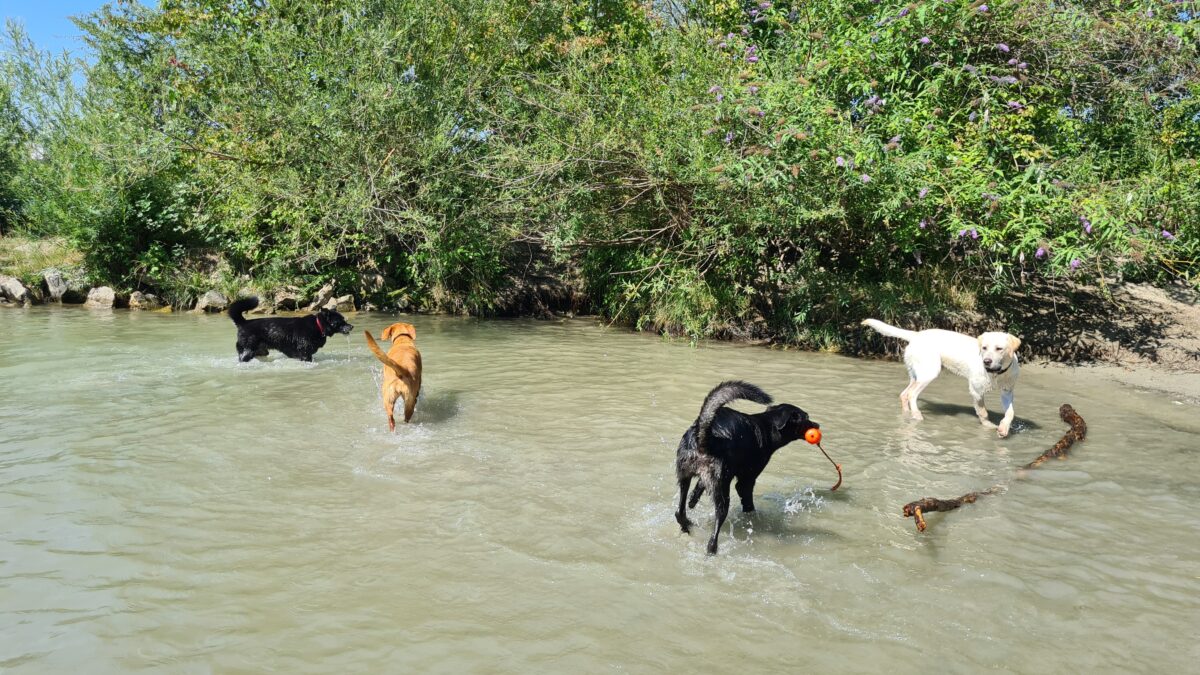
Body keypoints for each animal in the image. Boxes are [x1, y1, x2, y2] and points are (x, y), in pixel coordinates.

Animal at [672, 379, 820, 552]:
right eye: (806, 417)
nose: (818, 425)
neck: (767, 426)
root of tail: (705, 436)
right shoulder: (746, 481)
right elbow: (748, 503)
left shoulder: (710, 477)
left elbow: (699, 487)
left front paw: (693, 500)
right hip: (722, 492)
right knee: (714, 534)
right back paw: (711, 550)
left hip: (685, 475)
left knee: (679, 512)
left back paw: (687, 525)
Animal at [864, 319, 1022, 437]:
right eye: (984, 348)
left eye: (999, 348)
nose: (986, 361)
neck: (996, 373)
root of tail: (916, 335)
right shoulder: (976, 391)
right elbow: (983, 412)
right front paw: (988, 426)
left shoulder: (1007, 392)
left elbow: (1010, 413)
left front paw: (1003, 428)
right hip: (930, 372)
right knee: (911, 394)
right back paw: (917, 415)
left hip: (916, 375)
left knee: (904, 394)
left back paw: (907, 413)